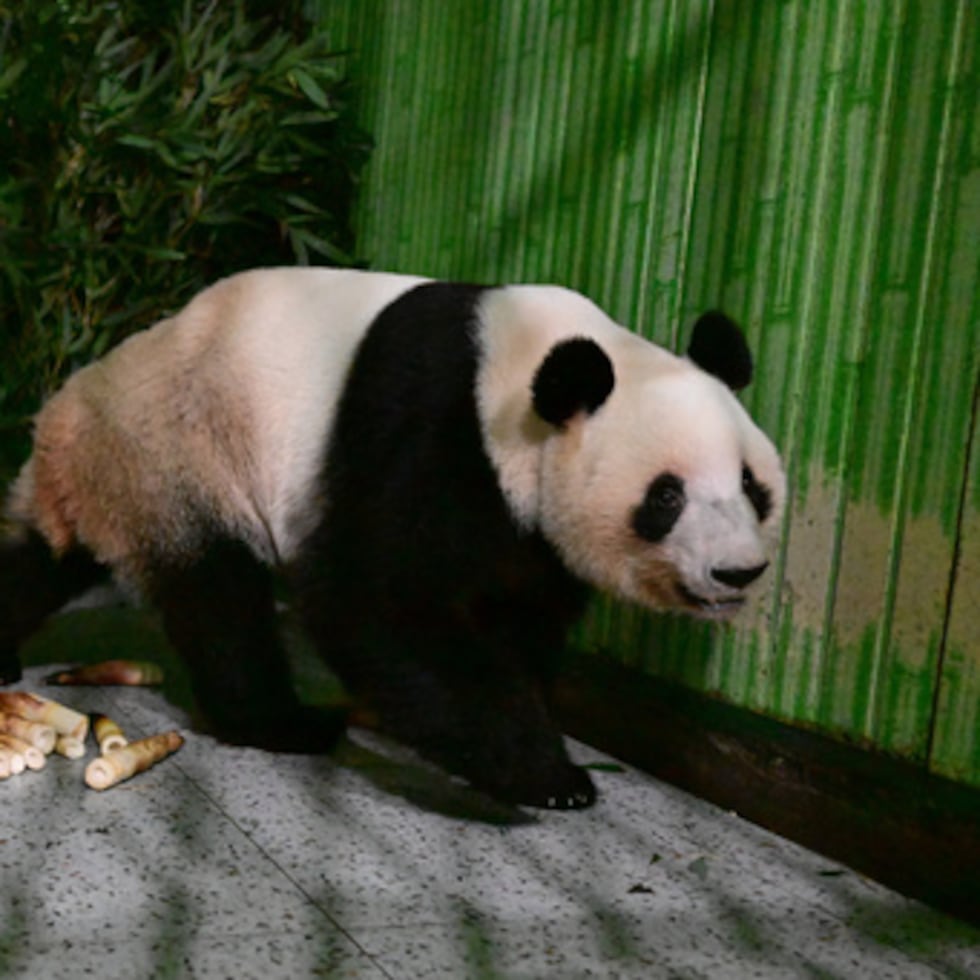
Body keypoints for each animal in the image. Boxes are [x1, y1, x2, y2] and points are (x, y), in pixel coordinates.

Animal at [0, 268, 785, 808]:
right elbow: (376, 597)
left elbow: (520, 610)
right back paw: (286, 722)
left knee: (39, 561)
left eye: (753, 486)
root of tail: (65, 418)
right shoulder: (429, 424)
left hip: (120, 479)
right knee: (221, 598)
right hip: (176, 458)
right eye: (666, 496)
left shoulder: (527, 528)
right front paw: (543, 770)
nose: (738, 573)